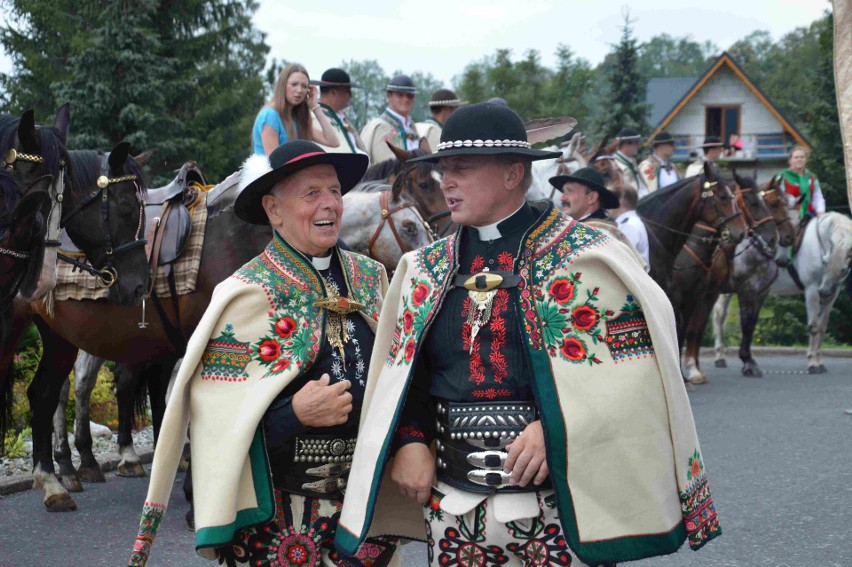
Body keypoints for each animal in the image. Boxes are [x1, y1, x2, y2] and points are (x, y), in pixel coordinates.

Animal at [708, 173, 796, 378]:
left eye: (786, 202)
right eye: (773, 203)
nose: (789, 236)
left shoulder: (762, 291)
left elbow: (753, 323)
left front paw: (749, 359)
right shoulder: (746, 290)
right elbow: (746, 323)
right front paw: (747, 361)